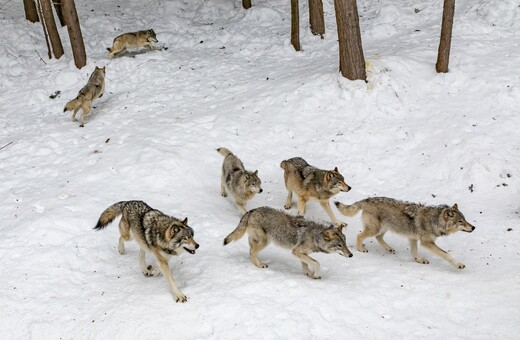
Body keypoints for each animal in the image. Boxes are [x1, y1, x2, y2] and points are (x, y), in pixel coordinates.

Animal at [223, 206, 354, 280]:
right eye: (339, 245)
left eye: (345, 244)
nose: (351, 255)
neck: (315, 236)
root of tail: (251, 211)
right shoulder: (296, 251)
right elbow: (317, 263)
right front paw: (315, 274)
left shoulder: (301, 253)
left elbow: (306, 264)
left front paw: (309, 274)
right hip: (265, 241)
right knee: (252, 252)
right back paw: (260, 265)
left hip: (260, 241)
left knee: (251, 251)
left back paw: (259, 263)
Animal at [334, 198, 476, 270]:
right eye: (460, 221)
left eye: (465, 219)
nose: (473, 227)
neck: (435, 220)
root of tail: (366, 200)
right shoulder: (427, 242)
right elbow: (446, 254)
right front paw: (459, 265)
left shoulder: (413, 238)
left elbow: (414, 252)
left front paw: (419, 260)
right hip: (376, 229)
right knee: (359, 236)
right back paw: (361, 249)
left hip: (383, 228)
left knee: (378, 237)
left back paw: (389, 248)